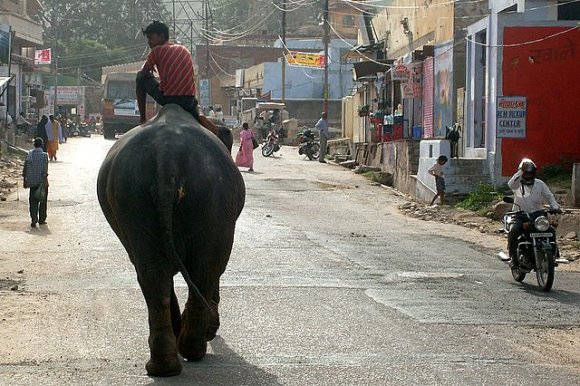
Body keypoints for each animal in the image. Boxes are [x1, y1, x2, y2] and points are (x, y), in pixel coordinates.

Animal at [97, 104, 245, 376]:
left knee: (156, 271)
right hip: (211, 201)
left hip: (136, 200)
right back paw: (190, 350)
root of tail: (167, 158)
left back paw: (167, 363)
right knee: (206, 268)